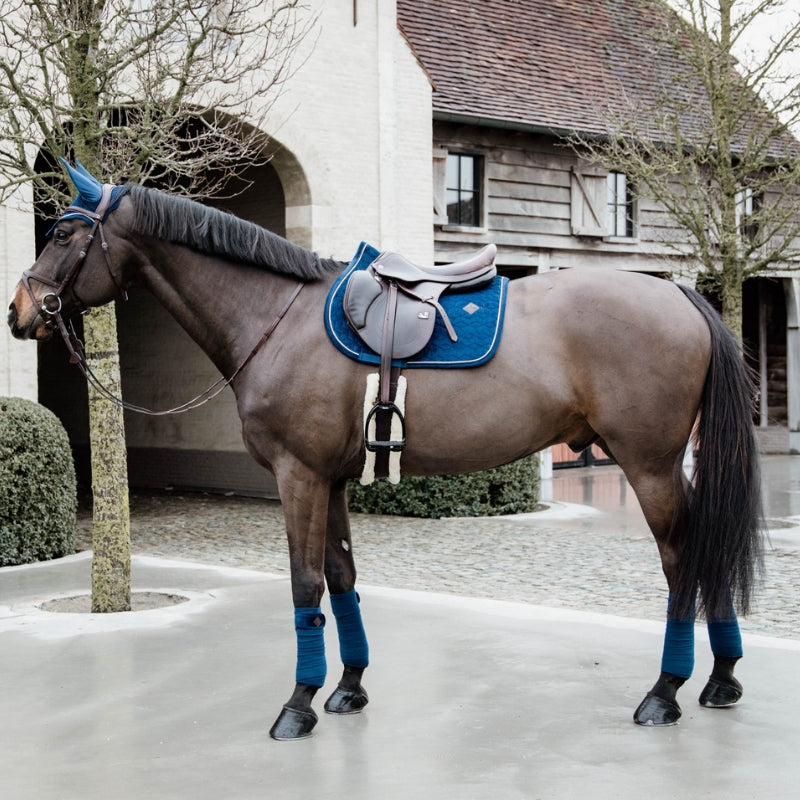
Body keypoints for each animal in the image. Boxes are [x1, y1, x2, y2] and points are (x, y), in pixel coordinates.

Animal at [9, 159, 764, 740]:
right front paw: (347, 687)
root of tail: (683, 298)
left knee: (683, 562)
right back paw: (722, 679)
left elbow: (305, 584)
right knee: (703, 553)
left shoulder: (298, 476)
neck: (275, 320)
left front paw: (297, 705)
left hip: (649, 465)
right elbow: (342, 580)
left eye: (65, 232)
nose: (19, 312)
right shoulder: (332, 479)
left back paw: (665, 691)